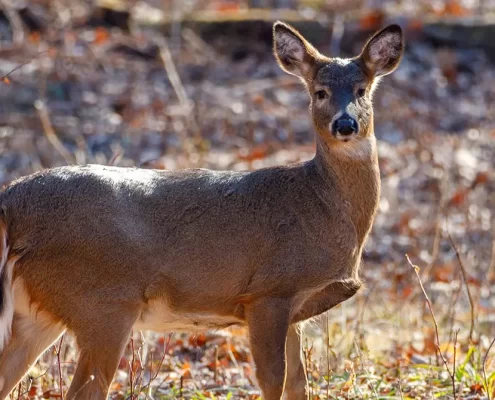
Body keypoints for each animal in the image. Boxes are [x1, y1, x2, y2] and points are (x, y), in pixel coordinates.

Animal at [0, 21, 404, 400]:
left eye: (362, 90)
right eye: (319, 91)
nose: (345, 124)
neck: (320, 203)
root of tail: (11, 199)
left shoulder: (295, 311)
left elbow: (298, 386)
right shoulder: (269, 291)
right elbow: (273, 381)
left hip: (38, 312)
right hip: (102, 302)